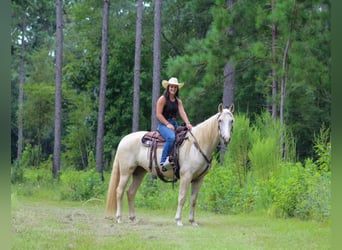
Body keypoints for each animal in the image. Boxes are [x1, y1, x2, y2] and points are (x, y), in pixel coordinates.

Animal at [105, 103, 234, 227]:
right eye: (220, 120)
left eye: (232, 120)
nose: (227, 138)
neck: (197, 144)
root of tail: (124, 139)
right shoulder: (186, 176)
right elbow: (182, 197)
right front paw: (178, 220)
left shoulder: (199, 179)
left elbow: (193, 200)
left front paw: (192, 221)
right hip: (126, 172)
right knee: (119, 191)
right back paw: (119, 218)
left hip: (139, 172)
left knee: (130, 192)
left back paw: (133, 219)